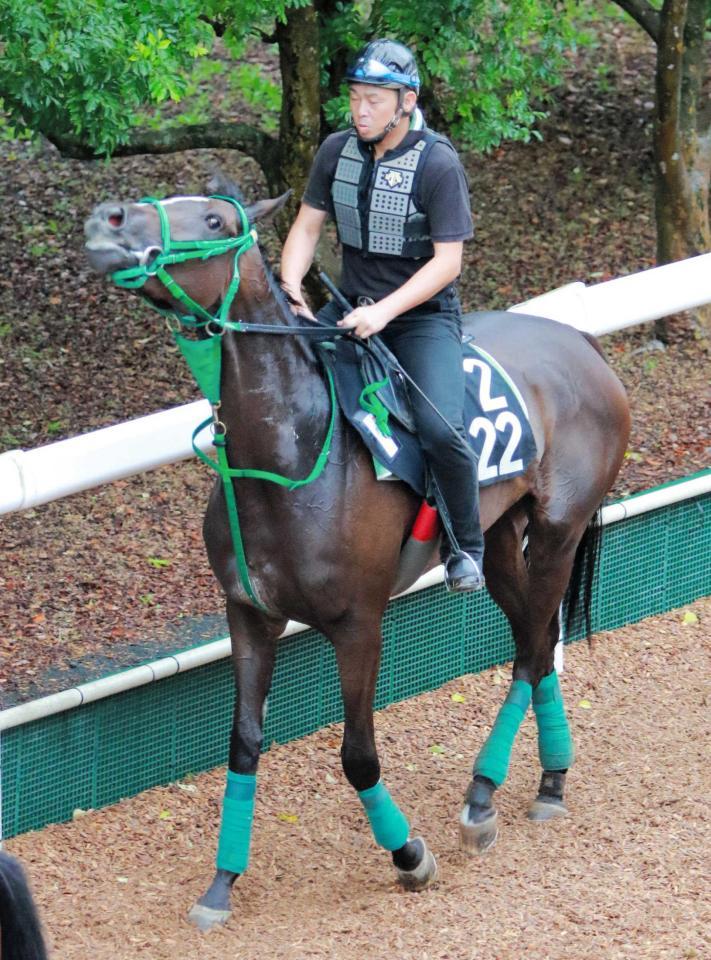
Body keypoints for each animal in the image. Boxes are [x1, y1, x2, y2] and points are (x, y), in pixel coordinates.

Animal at [80, 186, 632, 928]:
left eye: (216, 219)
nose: (108, 218)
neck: (289, 452)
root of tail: (579, 340)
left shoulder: (358, 626)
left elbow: (358, 757)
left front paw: (408, 856)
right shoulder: (248, 616)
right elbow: (243, 746)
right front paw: (222, 883)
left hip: (556, 533)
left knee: (528, 652)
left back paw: (483, 796)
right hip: (495, 543)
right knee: (536, 642)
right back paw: (547, 778)